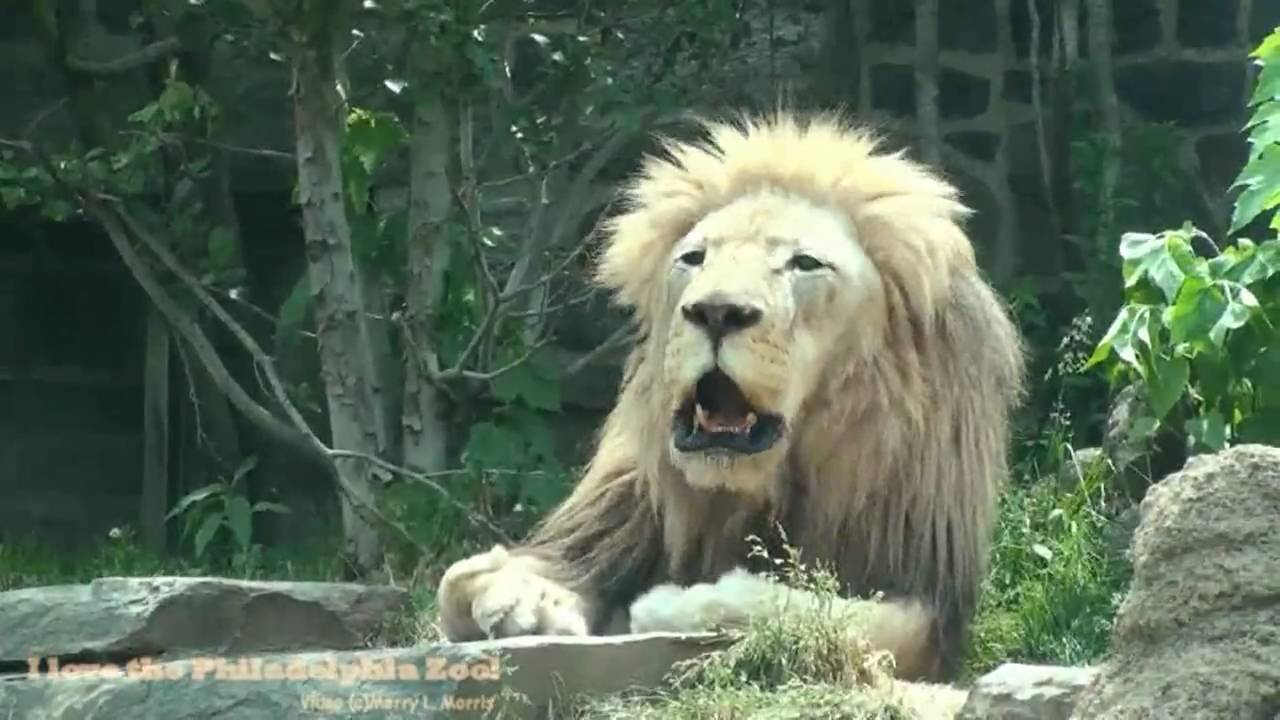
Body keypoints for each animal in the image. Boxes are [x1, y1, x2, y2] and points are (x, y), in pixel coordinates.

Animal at [436, 111, 1025, 681]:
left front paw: (670, 605)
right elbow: (462, 580)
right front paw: (519, 598)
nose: (717, 311)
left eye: (805, 263)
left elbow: (823, 613)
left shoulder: (931, 595)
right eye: (694, 258)